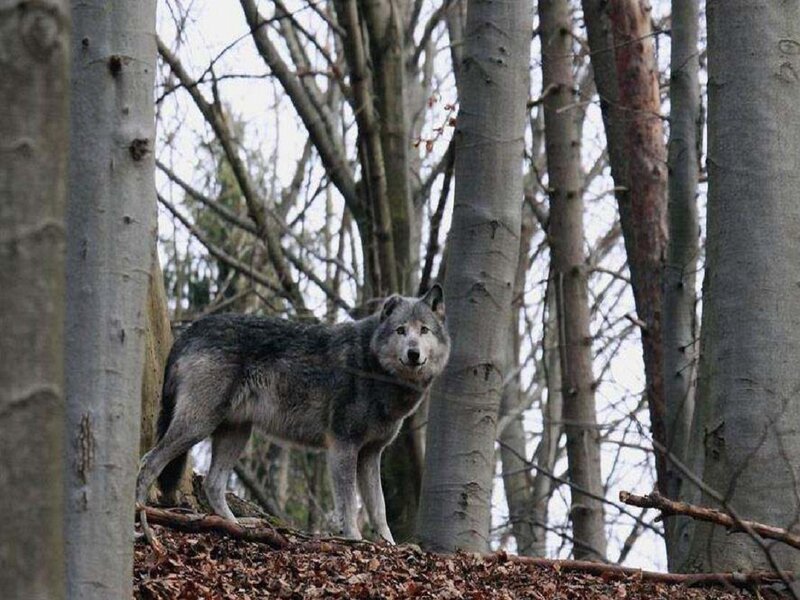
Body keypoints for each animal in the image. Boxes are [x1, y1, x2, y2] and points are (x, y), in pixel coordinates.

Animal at [136, 284, 450, 543]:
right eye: (401, 330)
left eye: (424, 330)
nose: (413, 354)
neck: (373, 368)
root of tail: (189, 330)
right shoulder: (343, 447)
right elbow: (348, 503)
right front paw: (354, 539)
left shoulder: (371, 454)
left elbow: (379, 509)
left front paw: (389, 545)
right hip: (198, 425)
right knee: (148, 461)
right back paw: (140, 513)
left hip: (237, 433)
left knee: (213, 485)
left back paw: (237, 526)